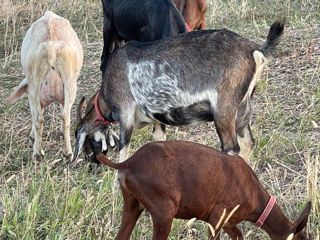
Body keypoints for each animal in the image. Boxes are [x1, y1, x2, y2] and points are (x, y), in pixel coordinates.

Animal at [7, 11, 83, 161]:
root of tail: (51, 47)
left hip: (36, 84)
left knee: (39, 118)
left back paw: (39, 153)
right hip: (68, 84)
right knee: (64, 117)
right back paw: (66, 153)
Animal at [72, 20, 284, 163]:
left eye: (89, 143)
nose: (93, 164)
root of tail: (255, 50)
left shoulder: (125, 112)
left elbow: (124, 148)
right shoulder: (157, 118)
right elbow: (158, 141)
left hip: (224, 109)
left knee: (232, 147)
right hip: (243, 109)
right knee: (248, 142)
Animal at [95, 142, 312, 239]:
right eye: (302, 239)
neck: (255, 196)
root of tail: (128, 163)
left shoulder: (228, 223)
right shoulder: (216, 220)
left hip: (132, 205)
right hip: (164, 213)